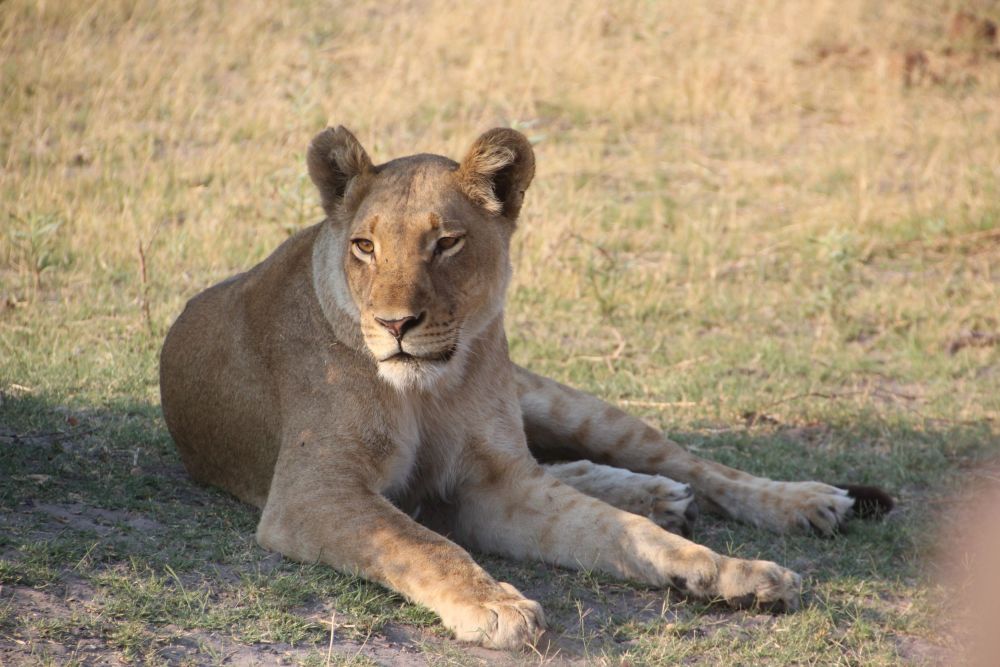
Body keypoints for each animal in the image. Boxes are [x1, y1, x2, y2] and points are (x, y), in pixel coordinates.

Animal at [159, 126, 893, 649]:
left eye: (446, 243)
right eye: (364, 246)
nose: (395, 324)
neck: (428, 389)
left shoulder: (493, 485)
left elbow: (619, 533)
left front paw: (733, 572)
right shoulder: (314, 493)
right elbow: (422, 544)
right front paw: (496, 605)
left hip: (565, 404)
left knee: (694, 465)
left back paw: (798, 501)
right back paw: (657, 496)